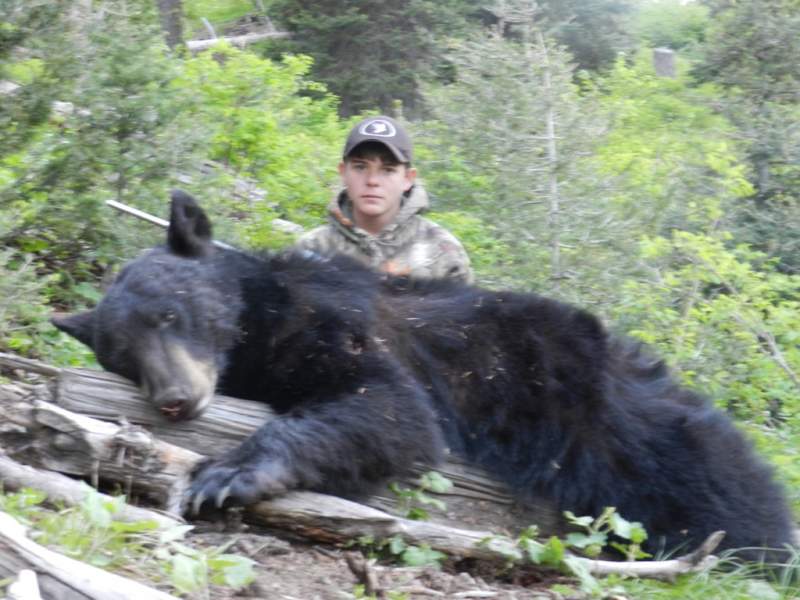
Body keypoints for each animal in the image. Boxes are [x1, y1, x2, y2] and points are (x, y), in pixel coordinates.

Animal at [53, 190, 796, 561]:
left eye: (171, 314)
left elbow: (390, 408)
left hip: (611, 421)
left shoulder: (332, 320)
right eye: (119, 351)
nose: (176, 400)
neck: (259, 322)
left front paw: (228, 473)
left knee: (711, 483)